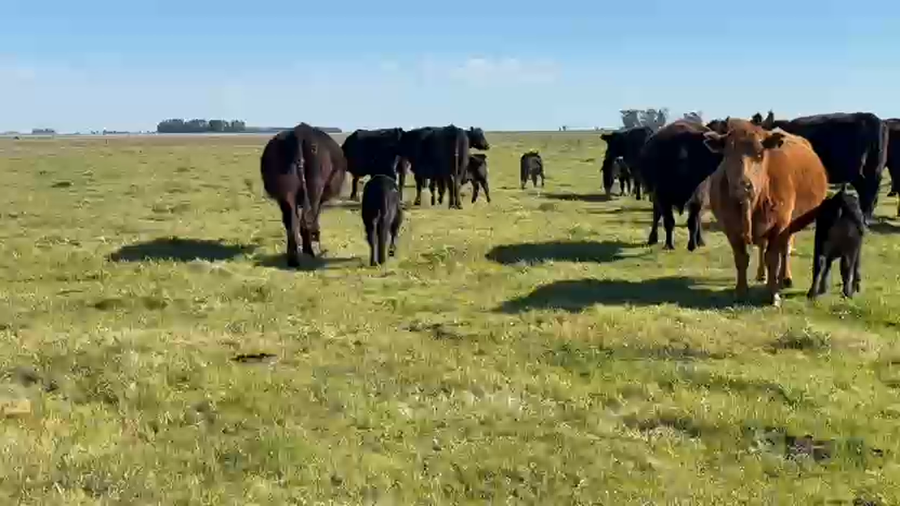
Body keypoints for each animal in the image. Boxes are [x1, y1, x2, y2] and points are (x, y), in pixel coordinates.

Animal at [260, 123, 347, 267]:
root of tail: (299, 133)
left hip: (285, 191)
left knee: (291, 219)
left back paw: (293, 258)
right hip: (315, 185)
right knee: (308, 216)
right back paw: (312, 251)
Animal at [636, 120, 722, 251]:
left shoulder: (698, 198)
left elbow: (693, 222)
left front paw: (692, 245)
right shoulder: (662, 196)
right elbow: (669, 221)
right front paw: (668, 245)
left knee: (697, 219)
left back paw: (700, 241)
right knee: (657, 215)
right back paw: (652, 238)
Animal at [703, 119, 829, 306]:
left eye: (760, 155)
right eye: (727, 155)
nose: (743, 185)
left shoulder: (780, 225)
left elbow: (773, 259)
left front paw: (773, 293)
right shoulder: (730, 228)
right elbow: (741, 258)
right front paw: (741, 291)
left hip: (791, 224)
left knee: (785, 250)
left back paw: (784, 278)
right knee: (763, 246)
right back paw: (762, 275)